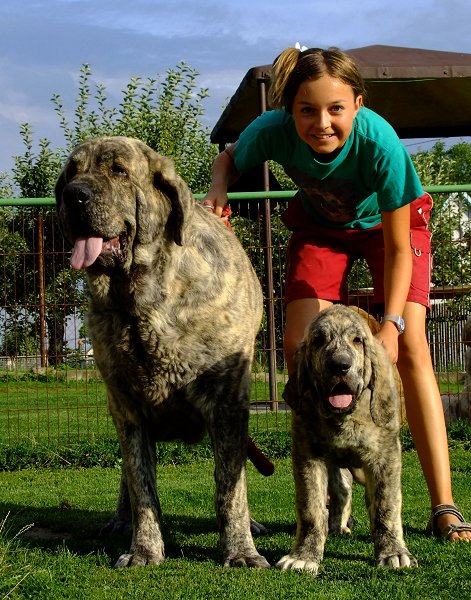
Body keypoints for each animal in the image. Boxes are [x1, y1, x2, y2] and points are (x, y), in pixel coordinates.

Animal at [54, 137, 270, 572]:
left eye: (118, 171)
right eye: (70, 174)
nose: (73, 195)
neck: (143, 303)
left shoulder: (227, 406)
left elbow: (230, 486)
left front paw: (240, 550)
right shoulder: (127, 407)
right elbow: (141, 485)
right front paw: (145, 550)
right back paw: (121, 521)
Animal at [276, 308, 416, 576]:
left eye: (357, 341)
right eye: (319, 340)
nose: (340, 365)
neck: (343, 418)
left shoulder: (386, 456)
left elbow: (386, 506)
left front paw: (393, 553)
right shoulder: (308, 457)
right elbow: (311, 509)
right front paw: (304, 556)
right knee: (341, 490)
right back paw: (336, 525)